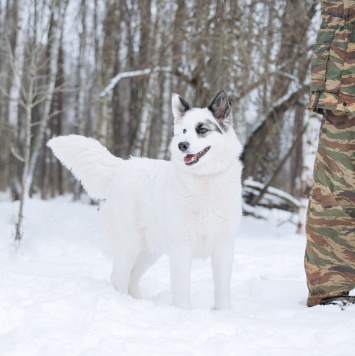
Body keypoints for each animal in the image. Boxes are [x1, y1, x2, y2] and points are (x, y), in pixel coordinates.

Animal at [48, 89, 242, 308]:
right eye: (183, 131)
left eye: (202, 129)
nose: (182, 145)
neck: (205, 180)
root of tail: (123, 166)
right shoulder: (181, 247)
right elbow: (182, 288)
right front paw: (184, 312)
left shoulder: (224, 247)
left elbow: (222, 289)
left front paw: (223, 312)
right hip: (130, 245)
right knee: (119, 276)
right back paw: (123, 303)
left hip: (150, 251)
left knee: (132, 277)